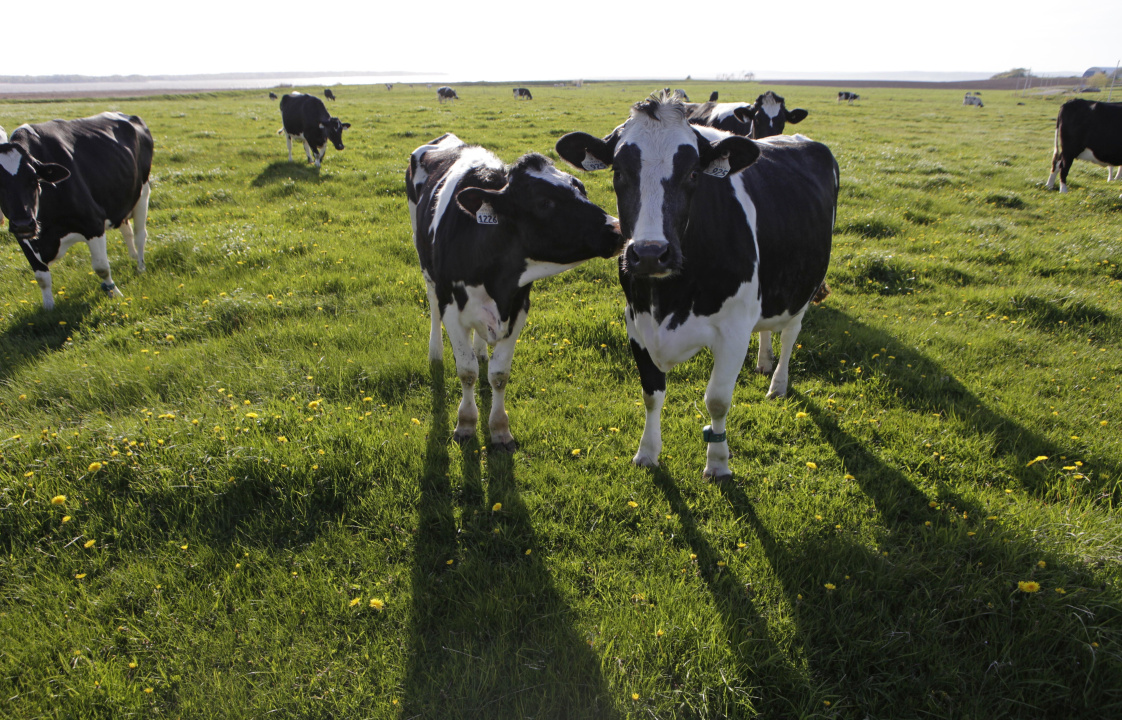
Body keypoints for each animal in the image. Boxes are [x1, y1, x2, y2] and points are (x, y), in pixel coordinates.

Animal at [0, 112, 153, 311]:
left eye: (34, 179)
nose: (23, 224)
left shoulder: (93, 224)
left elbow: (101, 267)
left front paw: (115, 294)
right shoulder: (24, 239)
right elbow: (41, 278)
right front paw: (48, 308)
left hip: (142, 192)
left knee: (139, 234)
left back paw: (140, 267)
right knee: (126, 229)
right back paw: (133, 257)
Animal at [407, 133, 624, 451]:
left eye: (581, 189)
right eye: (545, 202)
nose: (617, 229)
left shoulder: (519, 304)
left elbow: (498, 375)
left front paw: (499, 430)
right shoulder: (452, 305)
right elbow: (466, 371)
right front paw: (466, 425)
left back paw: (481, 352)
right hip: (424, 260)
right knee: (432, 305)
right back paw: (435, 352)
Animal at [556, 90, 837, 480]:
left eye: (692, 173)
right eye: (619, 172)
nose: (649, 253)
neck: (667, 299)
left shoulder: (733, 330)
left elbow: (717, 400)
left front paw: (717, 463)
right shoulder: (636, 323)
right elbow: (651, 393)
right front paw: (647, 452)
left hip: (804, 286)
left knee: (790, 333)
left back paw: (777, 383)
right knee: (767, 326)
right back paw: (764, 362)